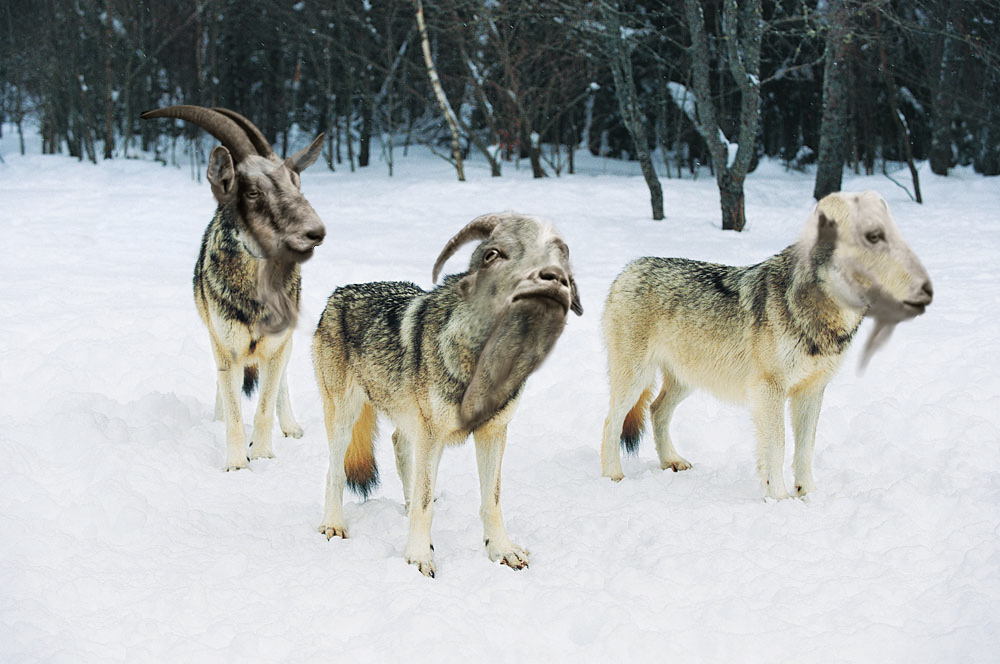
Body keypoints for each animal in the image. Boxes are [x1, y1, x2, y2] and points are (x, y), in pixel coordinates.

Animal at [310, 213, 580, 576]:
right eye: (496, 255)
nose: (552, 279)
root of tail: (339, 292)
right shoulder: (432, 434)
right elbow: (425, 506)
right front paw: (418, 557)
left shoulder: (493, 432)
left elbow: (492, 500)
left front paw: (502, 550)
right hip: (346, 417)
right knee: (335, 470)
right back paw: (334, 525)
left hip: (407, 420)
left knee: (398, 445)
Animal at [596, 189, 932, 496]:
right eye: (872, 238)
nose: (924, 288)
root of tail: (628, 269)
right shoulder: (769, 390)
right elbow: (778, 447)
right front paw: (779, 499)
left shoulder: (812, 390)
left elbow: (806, 449)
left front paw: (808, 496)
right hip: (637, 378)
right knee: (611, 422)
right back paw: (613, 476)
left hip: (688, 379)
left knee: (655, 410)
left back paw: (671, 461)